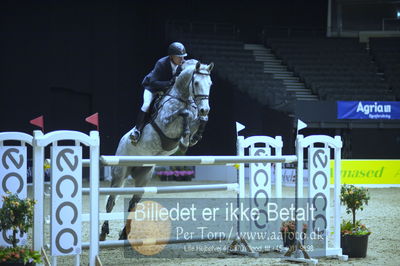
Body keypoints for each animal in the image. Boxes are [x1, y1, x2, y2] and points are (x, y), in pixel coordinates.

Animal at [100, 59, 214, 241]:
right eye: (196, 83)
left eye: (210, 84)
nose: (205, 108)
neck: (182, 97)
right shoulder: (166, 122)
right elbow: (184, 113)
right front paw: (184, 140)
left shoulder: (196, 119)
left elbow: (200, 119)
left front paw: (194, 137)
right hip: (120, 173)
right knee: (111, 201)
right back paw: (104, 232)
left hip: (144, 177)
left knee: (132, 203)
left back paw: (124, 233)